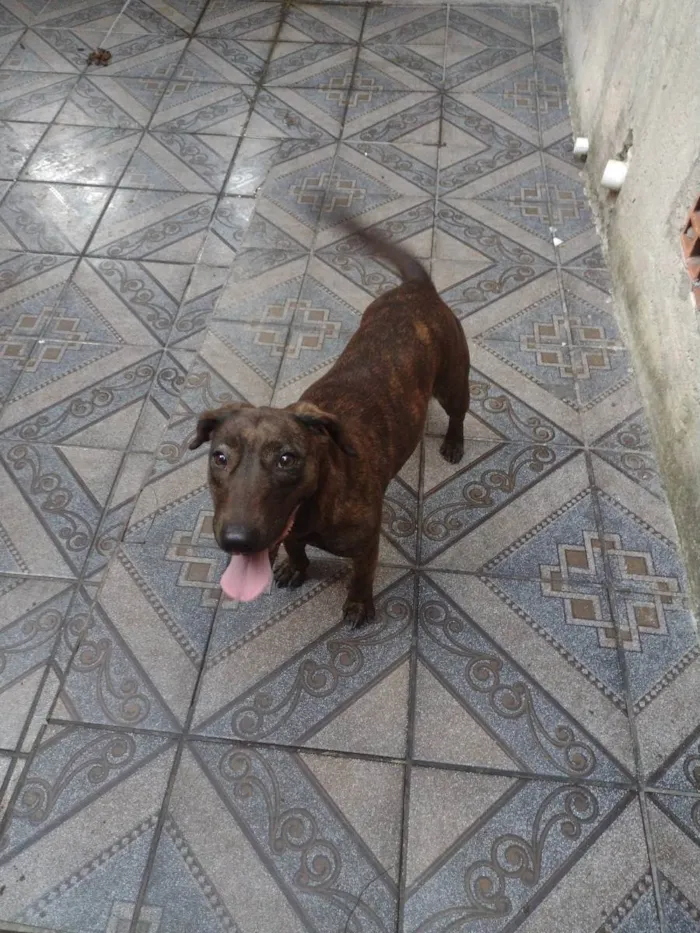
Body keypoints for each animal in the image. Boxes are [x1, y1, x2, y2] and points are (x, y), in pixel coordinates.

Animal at [190, 219, 470, 628]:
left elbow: (362, 576)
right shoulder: (291, 532)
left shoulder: (367, 545)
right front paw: (296, 566)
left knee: (458, 412)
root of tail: (416, 288)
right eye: (220, 458)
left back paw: (453, 442)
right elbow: (295, 546)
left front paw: (357, 605)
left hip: (453, 382)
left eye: (286, 459)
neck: (314, 503)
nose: (236, 541)